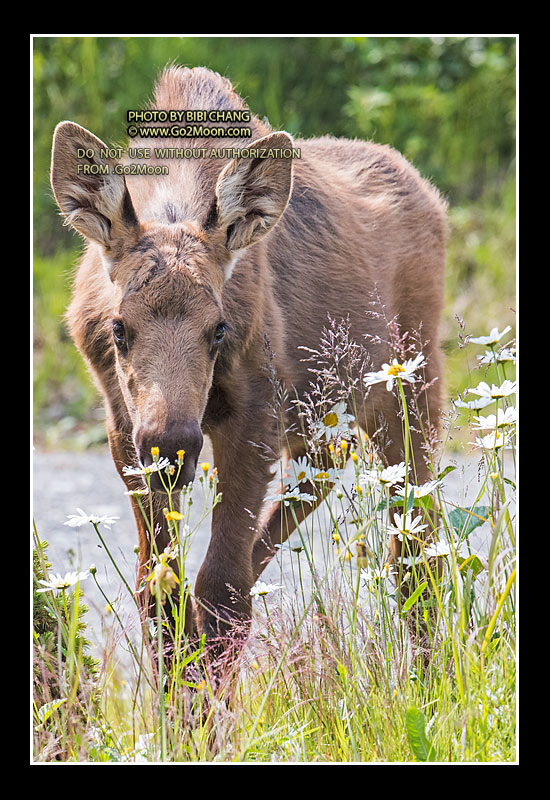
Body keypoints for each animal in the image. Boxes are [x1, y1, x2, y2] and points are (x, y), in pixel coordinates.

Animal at [50, 65, 447, 662]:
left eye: (219, 329)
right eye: (118, 329)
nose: (171, 449)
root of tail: (432, 196)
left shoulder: (256, 408)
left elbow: (222, 589)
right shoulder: (121, 422)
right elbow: (157, 591)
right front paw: (176, 686)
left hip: (412, 386)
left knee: (416, 548)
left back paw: (429, 670)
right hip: (323, 417)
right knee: (321, 481)